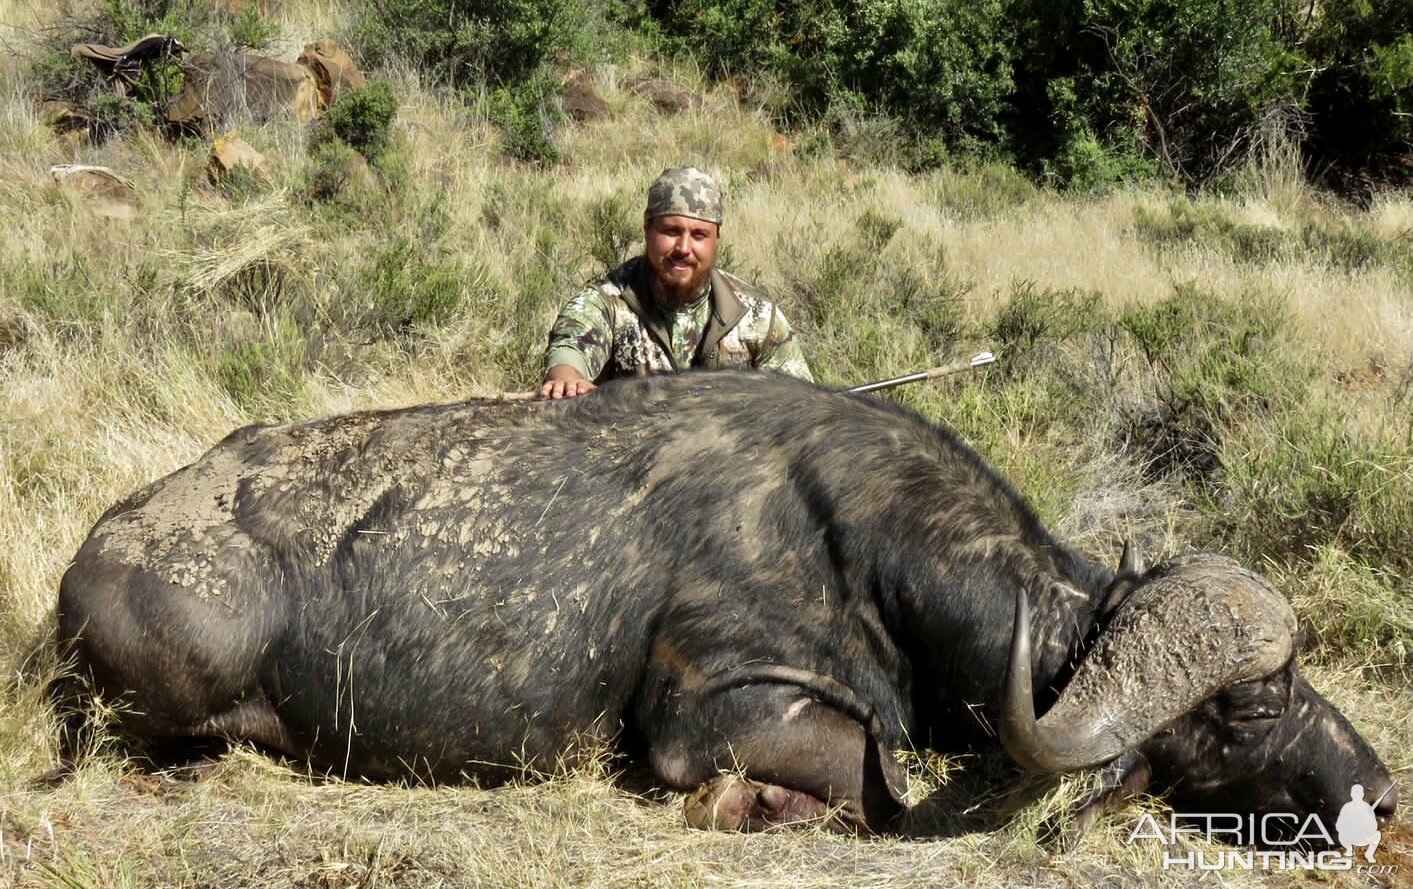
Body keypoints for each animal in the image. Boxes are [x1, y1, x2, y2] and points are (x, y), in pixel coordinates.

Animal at [52, 370, 1390, 836]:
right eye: (1252, 704)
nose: (1378, 788)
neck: (869, 554)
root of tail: (95, 550)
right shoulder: (717, 717)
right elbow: (868, 788)